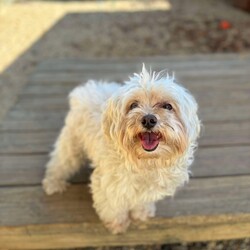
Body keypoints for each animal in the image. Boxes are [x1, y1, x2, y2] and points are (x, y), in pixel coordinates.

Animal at [42, 65, 200, 233]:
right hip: (72, 144)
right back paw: (53, 183)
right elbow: (112, 206)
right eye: (133, 105)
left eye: (168, 106)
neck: (146, 162)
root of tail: (85, 89)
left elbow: (141, 200)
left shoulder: (147, 188)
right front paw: (118, 224)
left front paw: (141, 212)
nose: (148, 119)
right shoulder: (107, 184)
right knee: (59, 162)